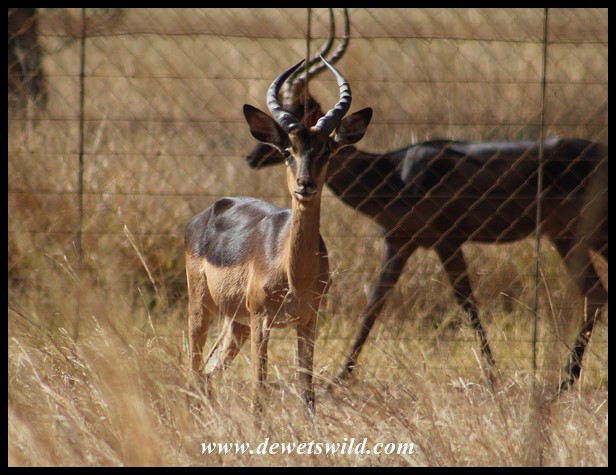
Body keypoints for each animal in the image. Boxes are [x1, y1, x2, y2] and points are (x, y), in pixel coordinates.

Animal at [185, 57, 372, 416]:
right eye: (288, 150)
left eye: (327, 150)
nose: (305, 185)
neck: (293, 273)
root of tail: (207, 213)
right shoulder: (262, 321)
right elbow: (259, 390)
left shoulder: (309, 322)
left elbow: (307, 392)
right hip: (202, 308)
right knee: (193, 368)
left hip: (236, 323)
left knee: (209, 371)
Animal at [245, 9, 608, 392]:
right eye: (287, 142)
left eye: (302, 116)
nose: (252, 157)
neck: (394, 173)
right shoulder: (401, 241)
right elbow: (376, 303)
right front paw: (339, 377)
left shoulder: (444, 241)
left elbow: (464, 302)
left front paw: (493, 376)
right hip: (570, 237)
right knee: (596, 294)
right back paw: (566, 380)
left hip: (585, 235)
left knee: (595, 293)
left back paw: (565, 381)